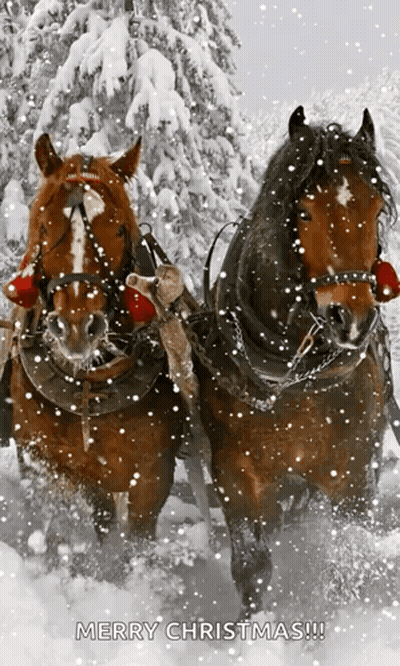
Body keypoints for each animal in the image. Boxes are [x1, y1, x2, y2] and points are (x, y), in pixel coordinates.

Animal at [4, 134, 188, 552]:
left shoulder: (152, 476)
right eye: (44, 225)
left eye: (119, 230)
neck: (89, 383)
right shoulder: (42, 461)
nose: (76, 326)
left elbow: (136, 540)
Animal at [194, 107, 397, 619]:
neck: (293, 376)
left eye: (375, 209)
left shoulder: (353, 477)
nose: (352, 318)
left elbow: (345, 559)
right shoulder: (237, 477)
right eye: (304, 212)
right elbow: (252, 568)